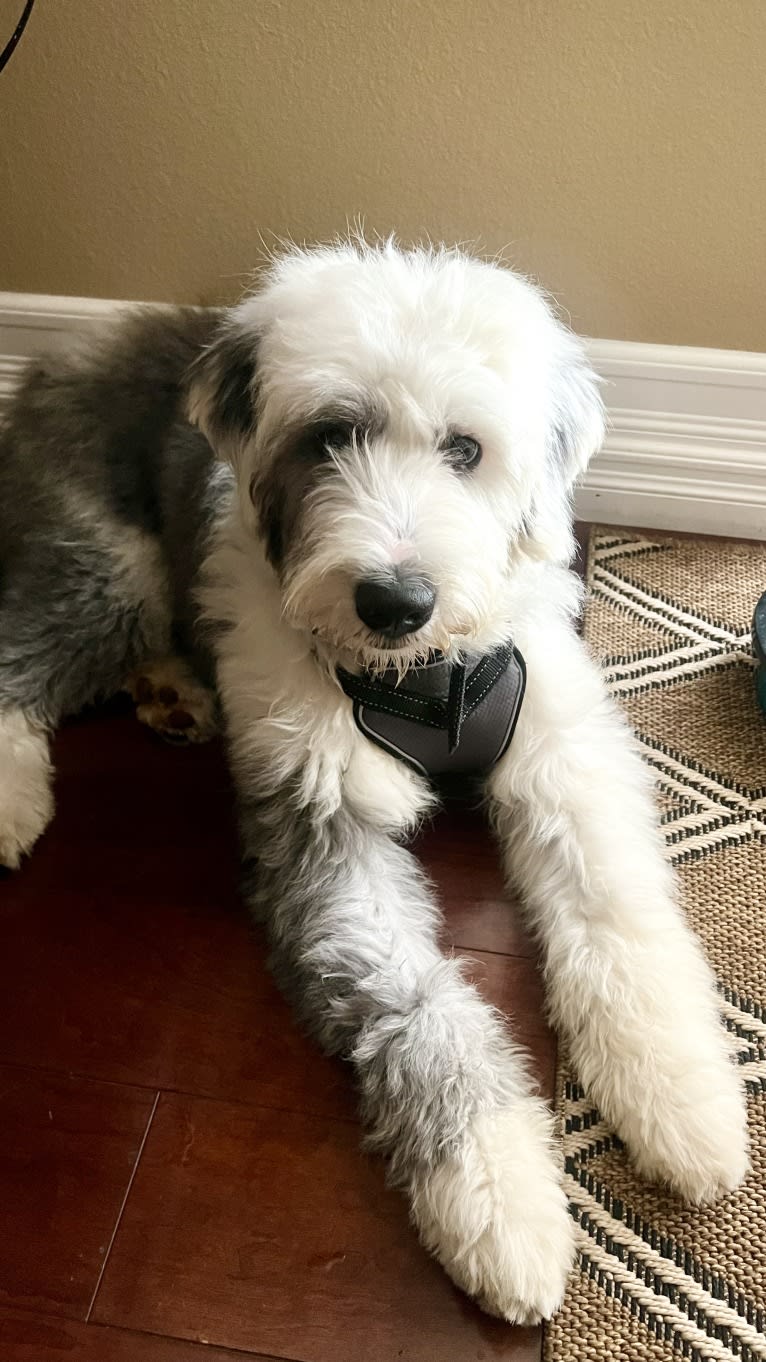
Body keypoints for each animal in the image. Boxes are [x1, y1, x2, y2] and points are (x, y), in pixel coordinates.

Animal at [0, 239, 741, 1323]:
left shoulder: (566, 759)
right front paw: (499, 1197)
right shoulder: (328, 822)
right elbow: (416, 1004)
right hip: (106, 564)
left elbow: (619, 921)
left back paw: (176, 693)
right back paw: (13, 792)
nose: (394, 601)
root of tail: (67, 353)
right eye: (330, 436)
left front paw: (684, 1101)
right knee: (20, 650)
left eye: (465, 449)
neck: (424, 680)